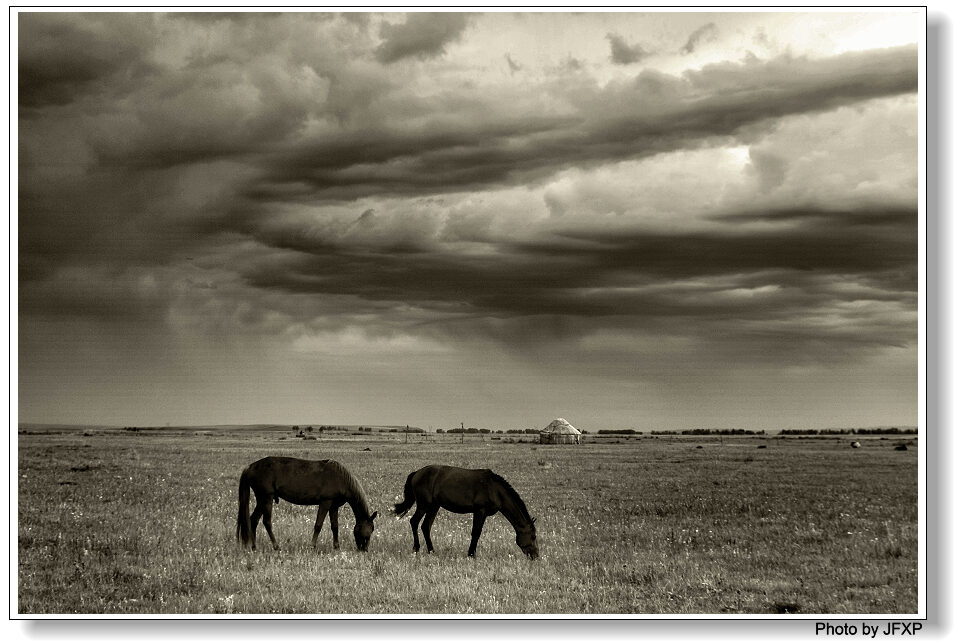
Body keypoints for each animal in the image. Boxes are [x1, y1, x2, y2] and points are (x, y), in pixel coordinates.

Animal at [235, 456, 378, 552]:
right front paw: (312, 546)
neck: (340, 478)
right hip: (267, 498)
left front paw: (336, 547)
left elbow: (335, 526)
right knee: (267, 522)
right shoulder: (325, 503)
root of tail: (250, 467)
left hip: (262, 500)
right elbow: (318, 525)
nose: (364, 550)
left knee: (253, 520)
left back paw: (254, 547)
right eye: (369, 531)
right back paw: (276, 546)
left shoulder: (334, 506)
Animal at [394, 462, 544, 560]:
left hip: (434, 506)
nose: (536, 556)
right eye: (533, 536)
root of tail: (417, 473)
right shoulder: (479, 511)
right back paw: (416, 548)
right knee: (414, 522)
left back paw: (431, 551)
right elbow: (476, 533)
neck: (494, 489)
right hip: (424, 505)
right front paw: (471, 554)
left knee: (426, 526)